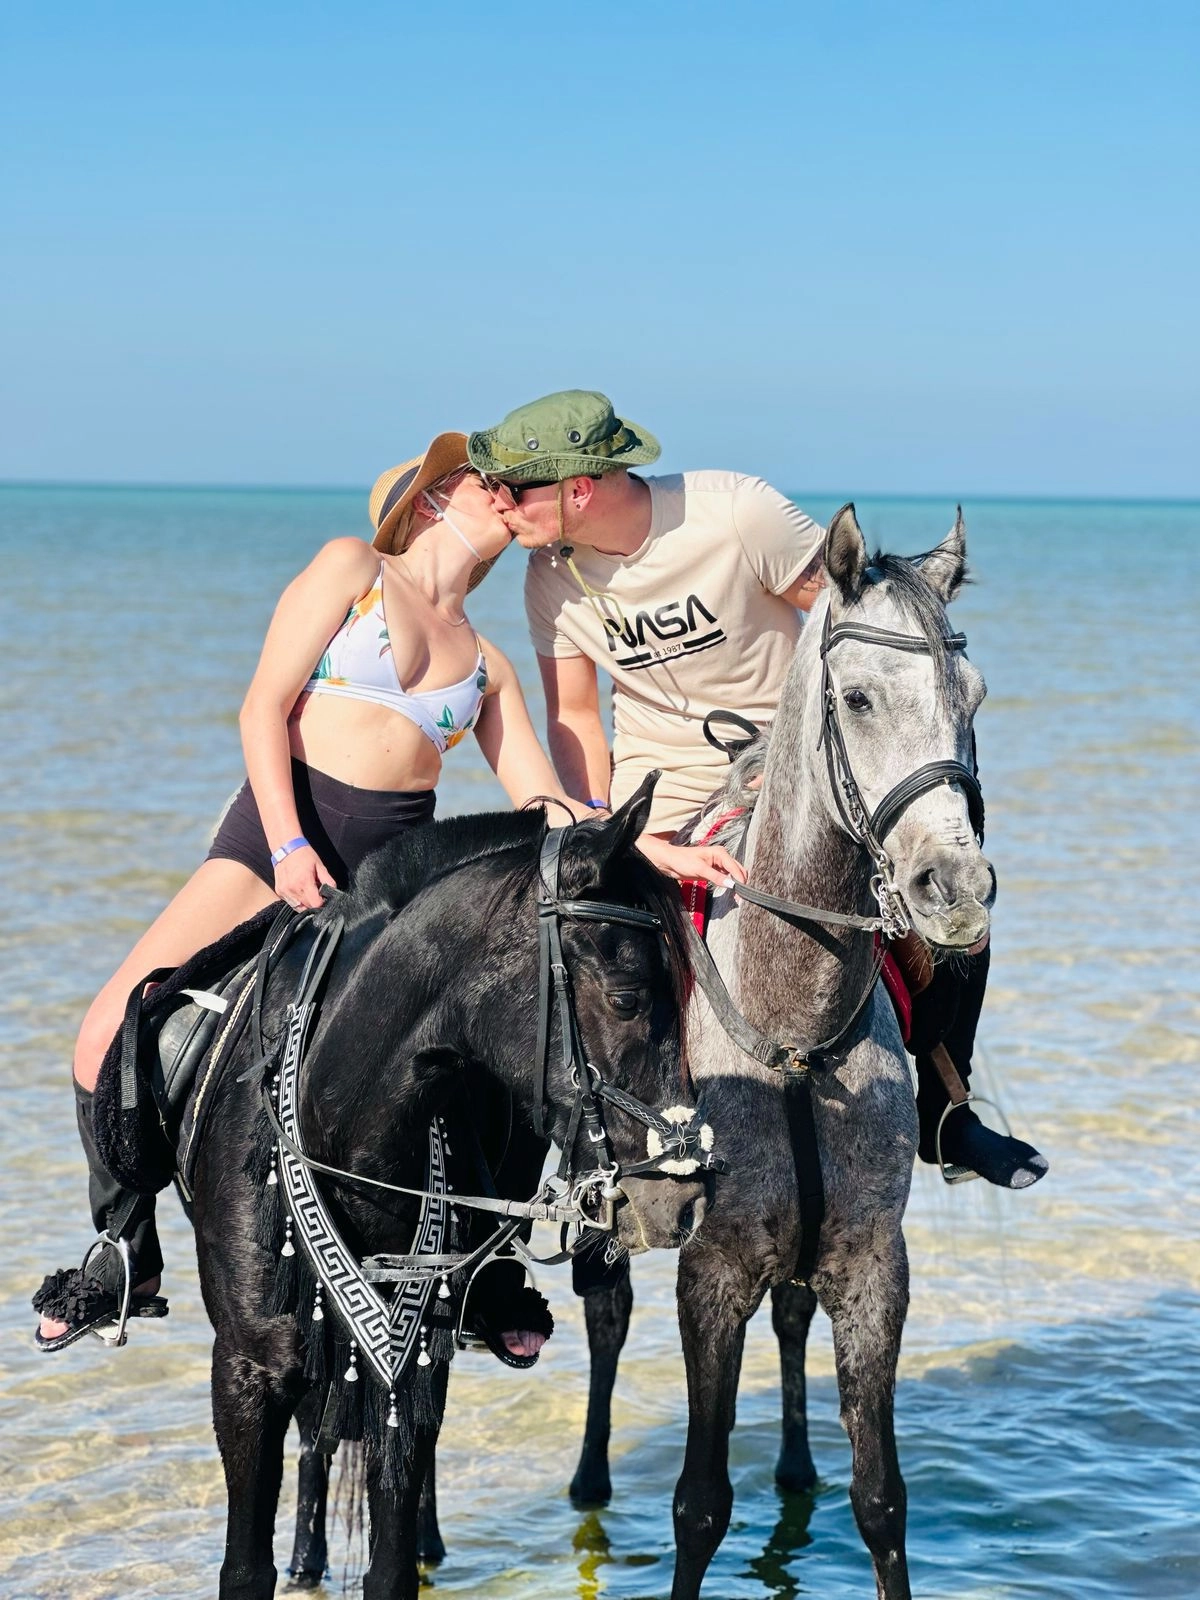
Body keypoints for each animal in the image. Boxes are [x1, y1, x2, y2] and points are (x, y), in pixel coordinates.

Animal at [95, 781, 719, 1600]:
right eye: (625, 997)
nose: (685, 1201)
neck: (339, 1131)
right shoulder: (247, 1371)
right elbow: (247, 1563)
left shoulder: (410, 1357)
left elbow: (390, 1561)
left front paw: (406, 1544)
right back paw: (308, 1551)